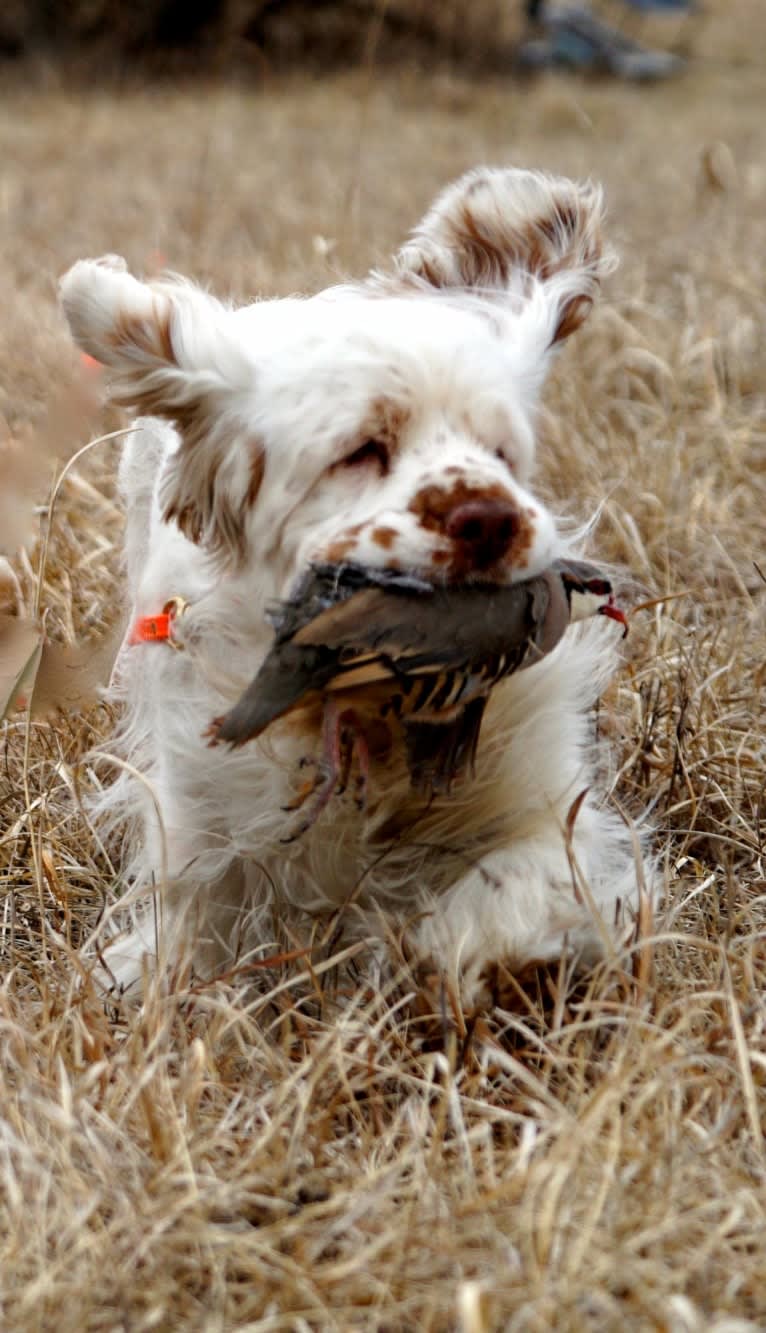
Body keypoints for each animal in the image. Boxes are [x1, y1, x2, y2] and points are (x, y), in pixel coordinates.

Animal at [59, 163, 650, 1002]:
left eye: (500, 452)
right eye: (362, 450)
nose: (490, 516)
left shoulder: (545, 805)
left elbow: (523, 878)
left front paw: (453, 948)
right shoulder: (202, 817)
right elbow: (196, 916)